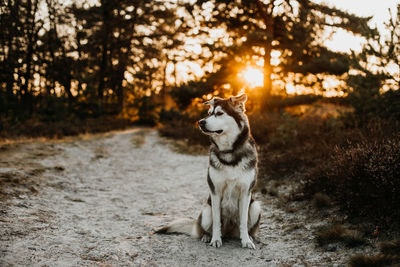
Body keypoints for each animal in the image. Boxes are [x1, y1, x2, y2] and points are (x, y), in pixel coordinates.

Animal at [156, 93, 262, 249]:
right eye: (208, 113)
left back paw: (250, 237)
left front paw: (246, 241)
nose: (200, 122)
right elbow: (217, 221)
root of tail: (229, 232)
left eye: (219, 113)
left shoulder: (245, 192)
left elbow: (243, 221)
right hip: (206, 210)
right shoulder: (215, 192)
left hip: (255, 207)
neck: (229, 152)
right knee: (204, 229)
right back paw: (207, 236)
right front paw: (216, 240)